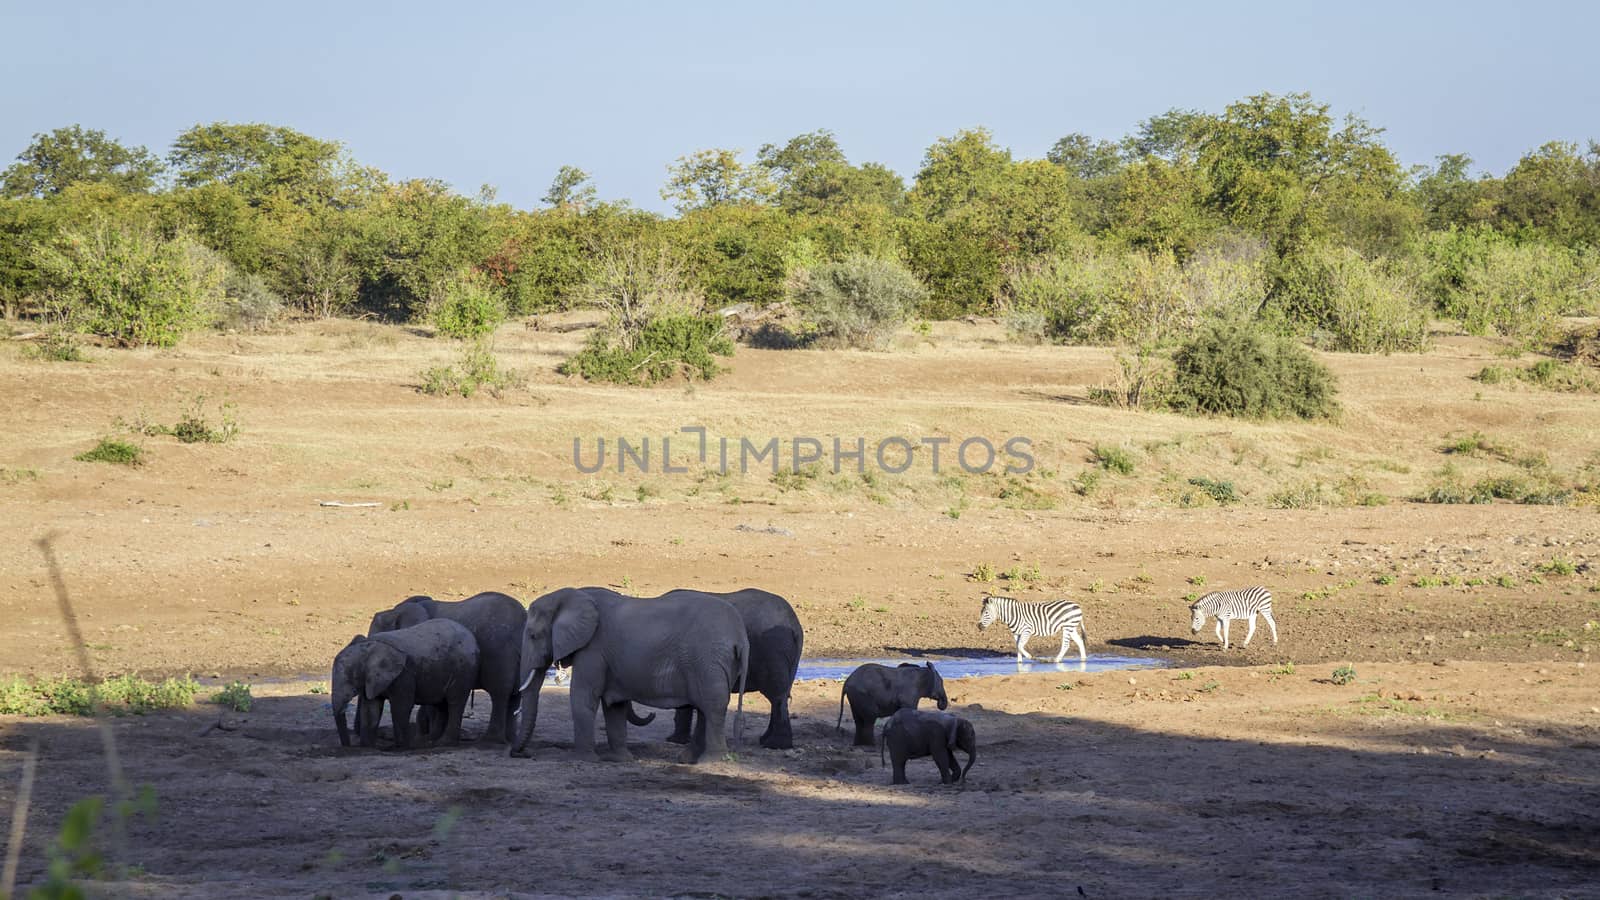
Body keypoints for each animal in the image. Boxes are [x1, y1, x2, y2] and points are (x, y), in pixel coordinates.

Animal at [326, 614, 470, 749]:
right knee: (441, 705)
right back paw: (431, 742)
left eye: (352, 679)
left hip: (462, 670)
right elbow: (371, 709)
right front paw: (368, 748)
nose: (348, 746)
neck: (370, 647)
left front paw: (402, 747)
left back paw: (444, 743)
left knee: (454, 703)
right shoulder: (372, 679)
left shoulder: (404, 675)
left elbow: (400, 708)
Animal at [368, 589, 524, 743]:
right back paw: (510, 740)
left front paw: (426, 738)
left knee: (500, 693)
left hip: (500, 654)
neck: (395, 611)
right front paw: (428, 737)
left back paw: (490, 741)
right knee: (515, 695)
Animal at [512, 582, 748, 762]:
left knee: (712, 707)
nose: (521, 754)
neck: (572, 595)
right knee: (704, 708)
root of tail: (740, 635)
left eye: (533, 636)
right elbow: (614, 706)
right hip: (716, 663)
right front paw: (619, 759)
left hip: (708, 659)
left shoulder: (593, 648)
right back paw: (688, 760)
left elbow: (583, 697)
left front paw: (581, 759)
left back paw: (710, 761)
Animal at [659, 586, 806, 746]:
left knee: (776, 694)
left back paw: (775, 745)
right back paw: (766, 740)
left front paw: (675, 741)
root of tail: (795, 626)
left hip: (773, 649)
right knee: (781, 693)